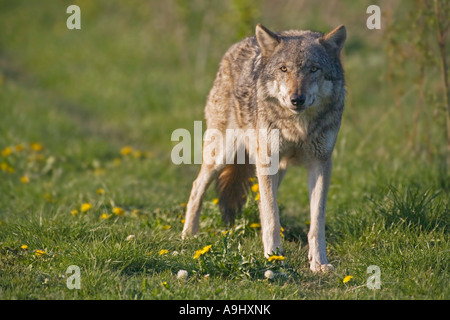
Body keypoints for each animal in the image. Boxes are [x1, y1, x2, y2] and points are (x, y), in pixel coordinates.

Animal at [181, 23, 346, 272]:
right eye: (284, 69)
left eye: (314, 69)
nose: (297, 99)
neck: (297, 127)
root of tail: (239, 44)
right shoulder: (267, 161)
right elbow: (272, 218)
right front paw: (273, 257)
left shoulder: (321, 163)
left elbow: (316, 223)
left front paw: (319, 263)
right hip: (223, 155)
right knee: (196, 187)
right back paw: (188, 234)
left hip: (275, 168)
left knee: (260, 202)